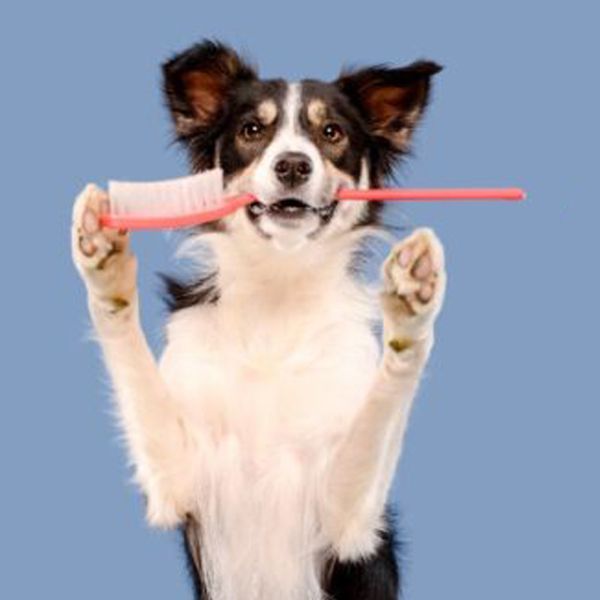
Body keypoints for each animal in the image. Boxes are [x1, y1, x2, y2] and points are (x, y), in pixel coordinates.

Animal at [70, 39, 446, 596]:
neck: (277, 294)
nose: (292, 165)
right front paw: (106, 259)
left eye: (331, 133)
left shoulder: (349, 520)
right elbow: (129, 353)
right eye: (252, 130)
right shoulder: (177, 477)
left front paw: (410, 304)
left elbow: (383, 407)